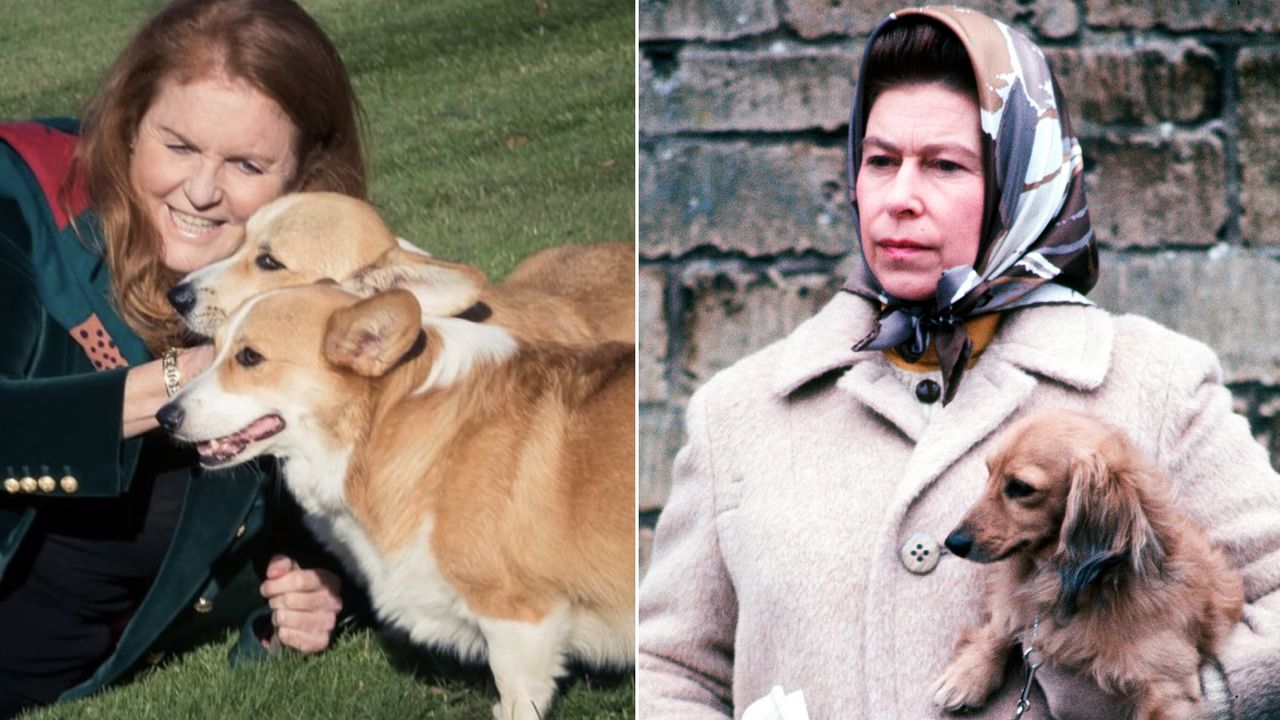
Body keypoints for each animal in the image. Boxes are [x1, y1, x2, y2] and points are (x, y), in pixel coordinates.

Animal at [157, 283, 637, 712]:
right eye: (214, 350)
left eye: (249, 357)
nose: (164, 416)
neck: (383, 418)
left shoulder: (519, 621)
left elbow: (516, 700)